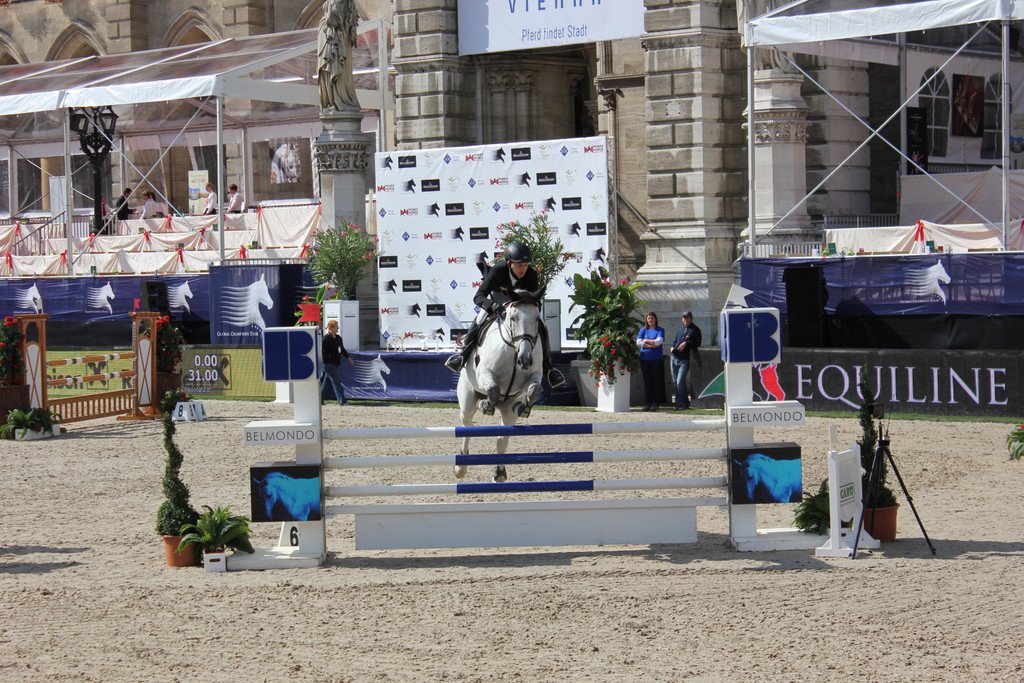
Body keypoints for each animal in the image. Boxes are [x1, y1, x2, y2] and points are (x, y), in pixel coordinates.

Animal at [455, 290, 544, 483]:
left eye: (536, 318)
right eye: (513, 318)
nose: (525, 360)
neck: (514, 349)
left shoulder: (534, 375)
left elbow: (534, 389)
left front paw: (524, 408)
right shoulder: (484, 372)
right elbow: (494, 390)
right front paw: (485, 405)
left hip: (508, 411)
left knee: (502, 438)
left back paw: (500, 473)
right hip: (467, 400)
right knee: (467, 427)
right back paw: (460, 467)